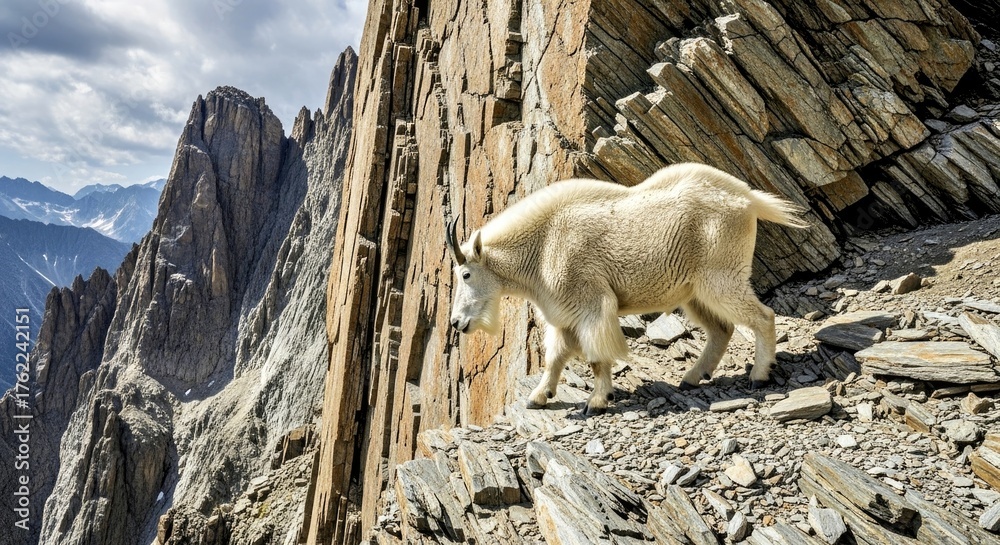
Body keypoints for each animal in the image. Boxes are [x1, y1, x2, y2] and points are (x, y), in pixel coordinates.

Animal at [447, 162, 808, 415]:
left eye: (465, 274)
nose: (456, 322)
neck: (542, 245)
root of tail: (749, 199)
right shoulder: (563, 314)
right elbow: (555, 357)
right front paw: (539, 397)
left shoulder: (591, 304)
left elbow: (596, 358)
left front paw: (596, 402)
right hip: (694, 292)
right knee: (722, 329)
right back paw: (692, 377)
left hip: (721, 277)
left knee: (762, 316)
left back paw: (759, 374)